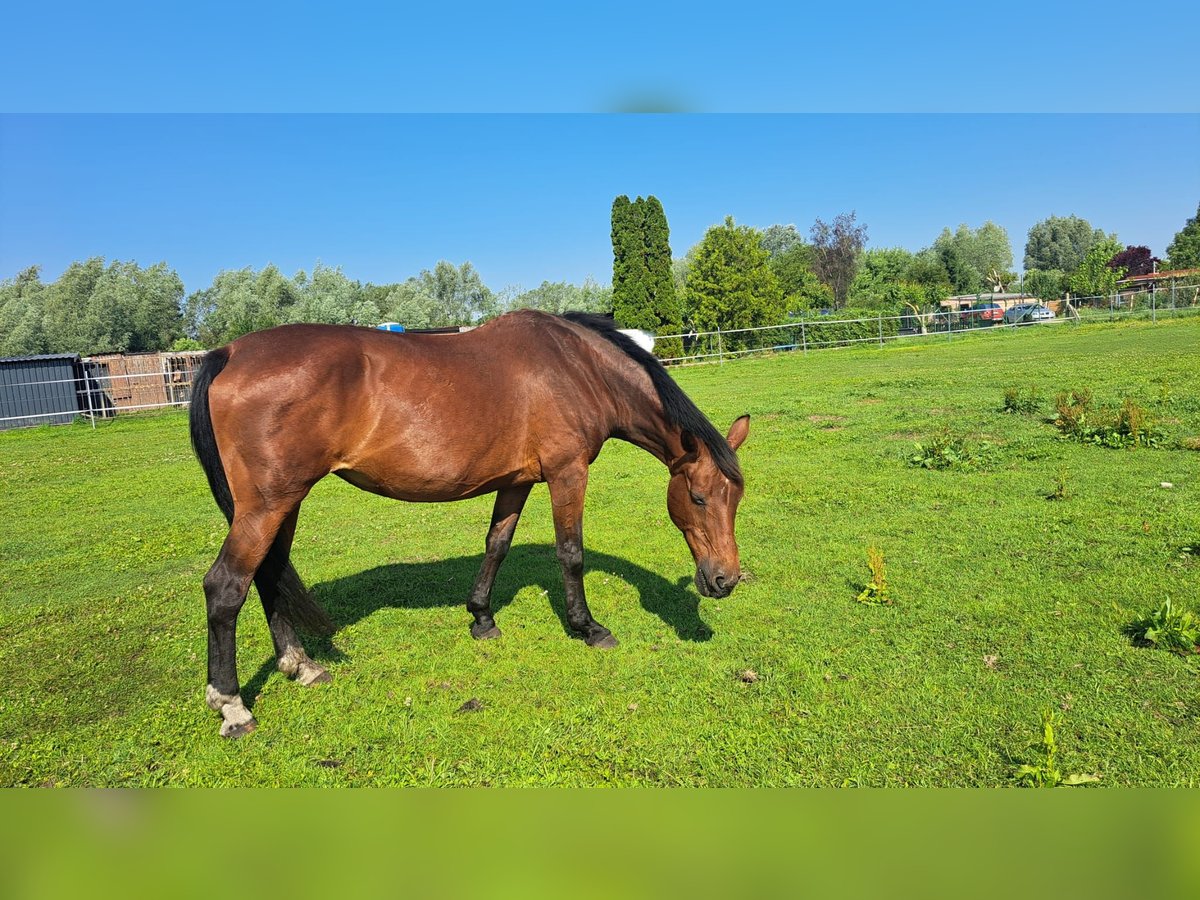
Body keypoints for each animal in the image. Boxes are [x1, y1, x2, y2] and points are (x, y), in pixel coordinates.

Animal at [189, 310, 749, 738]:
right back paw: (232, 706)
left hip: (285, 503)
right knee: (227, 586)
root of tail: (230, 352)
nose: (724, 580)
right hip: (268, 504)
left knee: (268, 575)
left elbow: (497, 544)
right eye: (698, 497)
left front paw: (481, 617)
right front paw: (588, 627)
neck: (576, 367)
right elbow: (570, 552)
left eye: (736, 498)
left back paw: (301, 666)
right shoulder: (567, 472)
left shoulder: (517, 480)